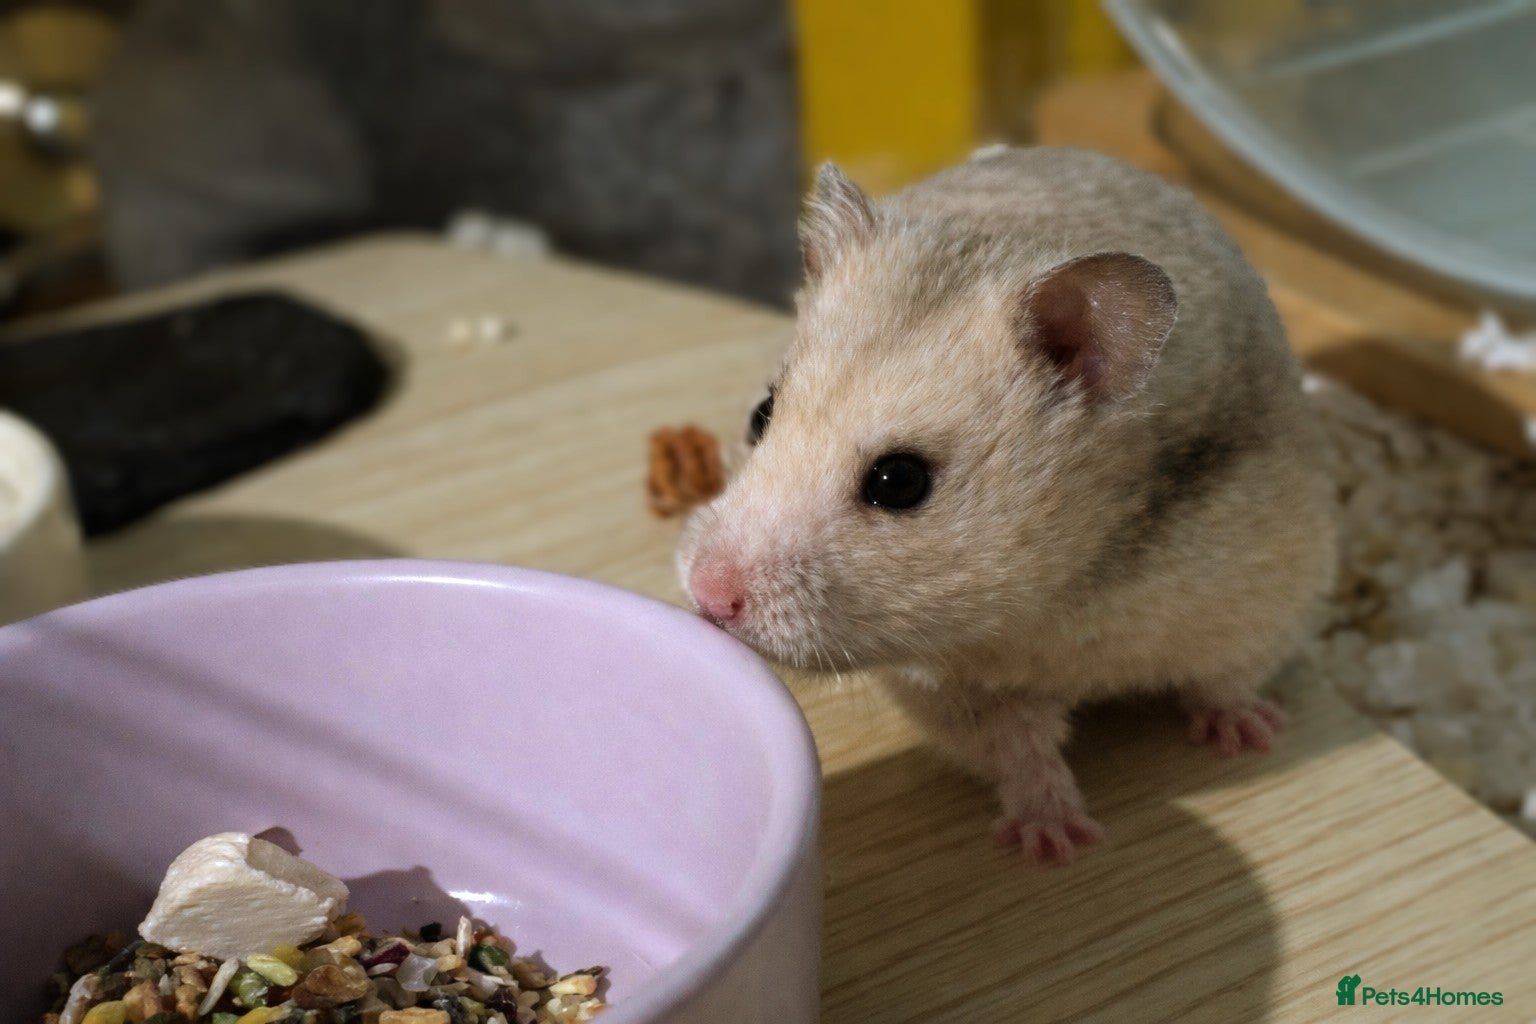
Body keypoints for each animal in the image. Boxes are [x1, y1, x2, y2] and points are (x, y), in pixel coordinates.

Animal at [676, 146, 1336, 865]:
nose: (707, 595)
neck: (1056, 592)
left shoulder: (1266, 593)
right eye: (762, 415)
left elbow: (1226, 677)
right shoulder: (956, 688)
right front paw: (1057, 845)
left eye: (899, 482)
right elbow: (1019, 749)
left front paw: (1252, 735)